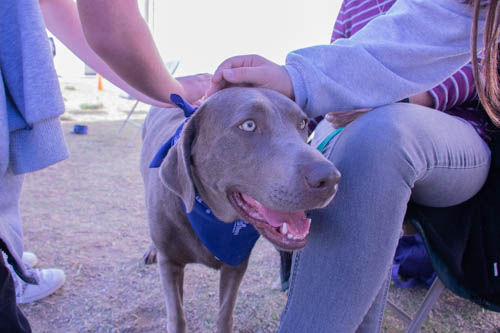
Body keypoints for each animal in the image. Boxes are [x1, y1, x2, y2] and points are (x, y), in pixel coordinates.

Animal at [140, 87, 340, 330]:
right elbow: (177, 317)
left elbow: (225, 313)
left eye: (302, 123)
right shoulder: (170, 264)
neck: (213, 220)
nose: (330, 179)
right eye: (249, 125)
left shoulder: (236, 265)